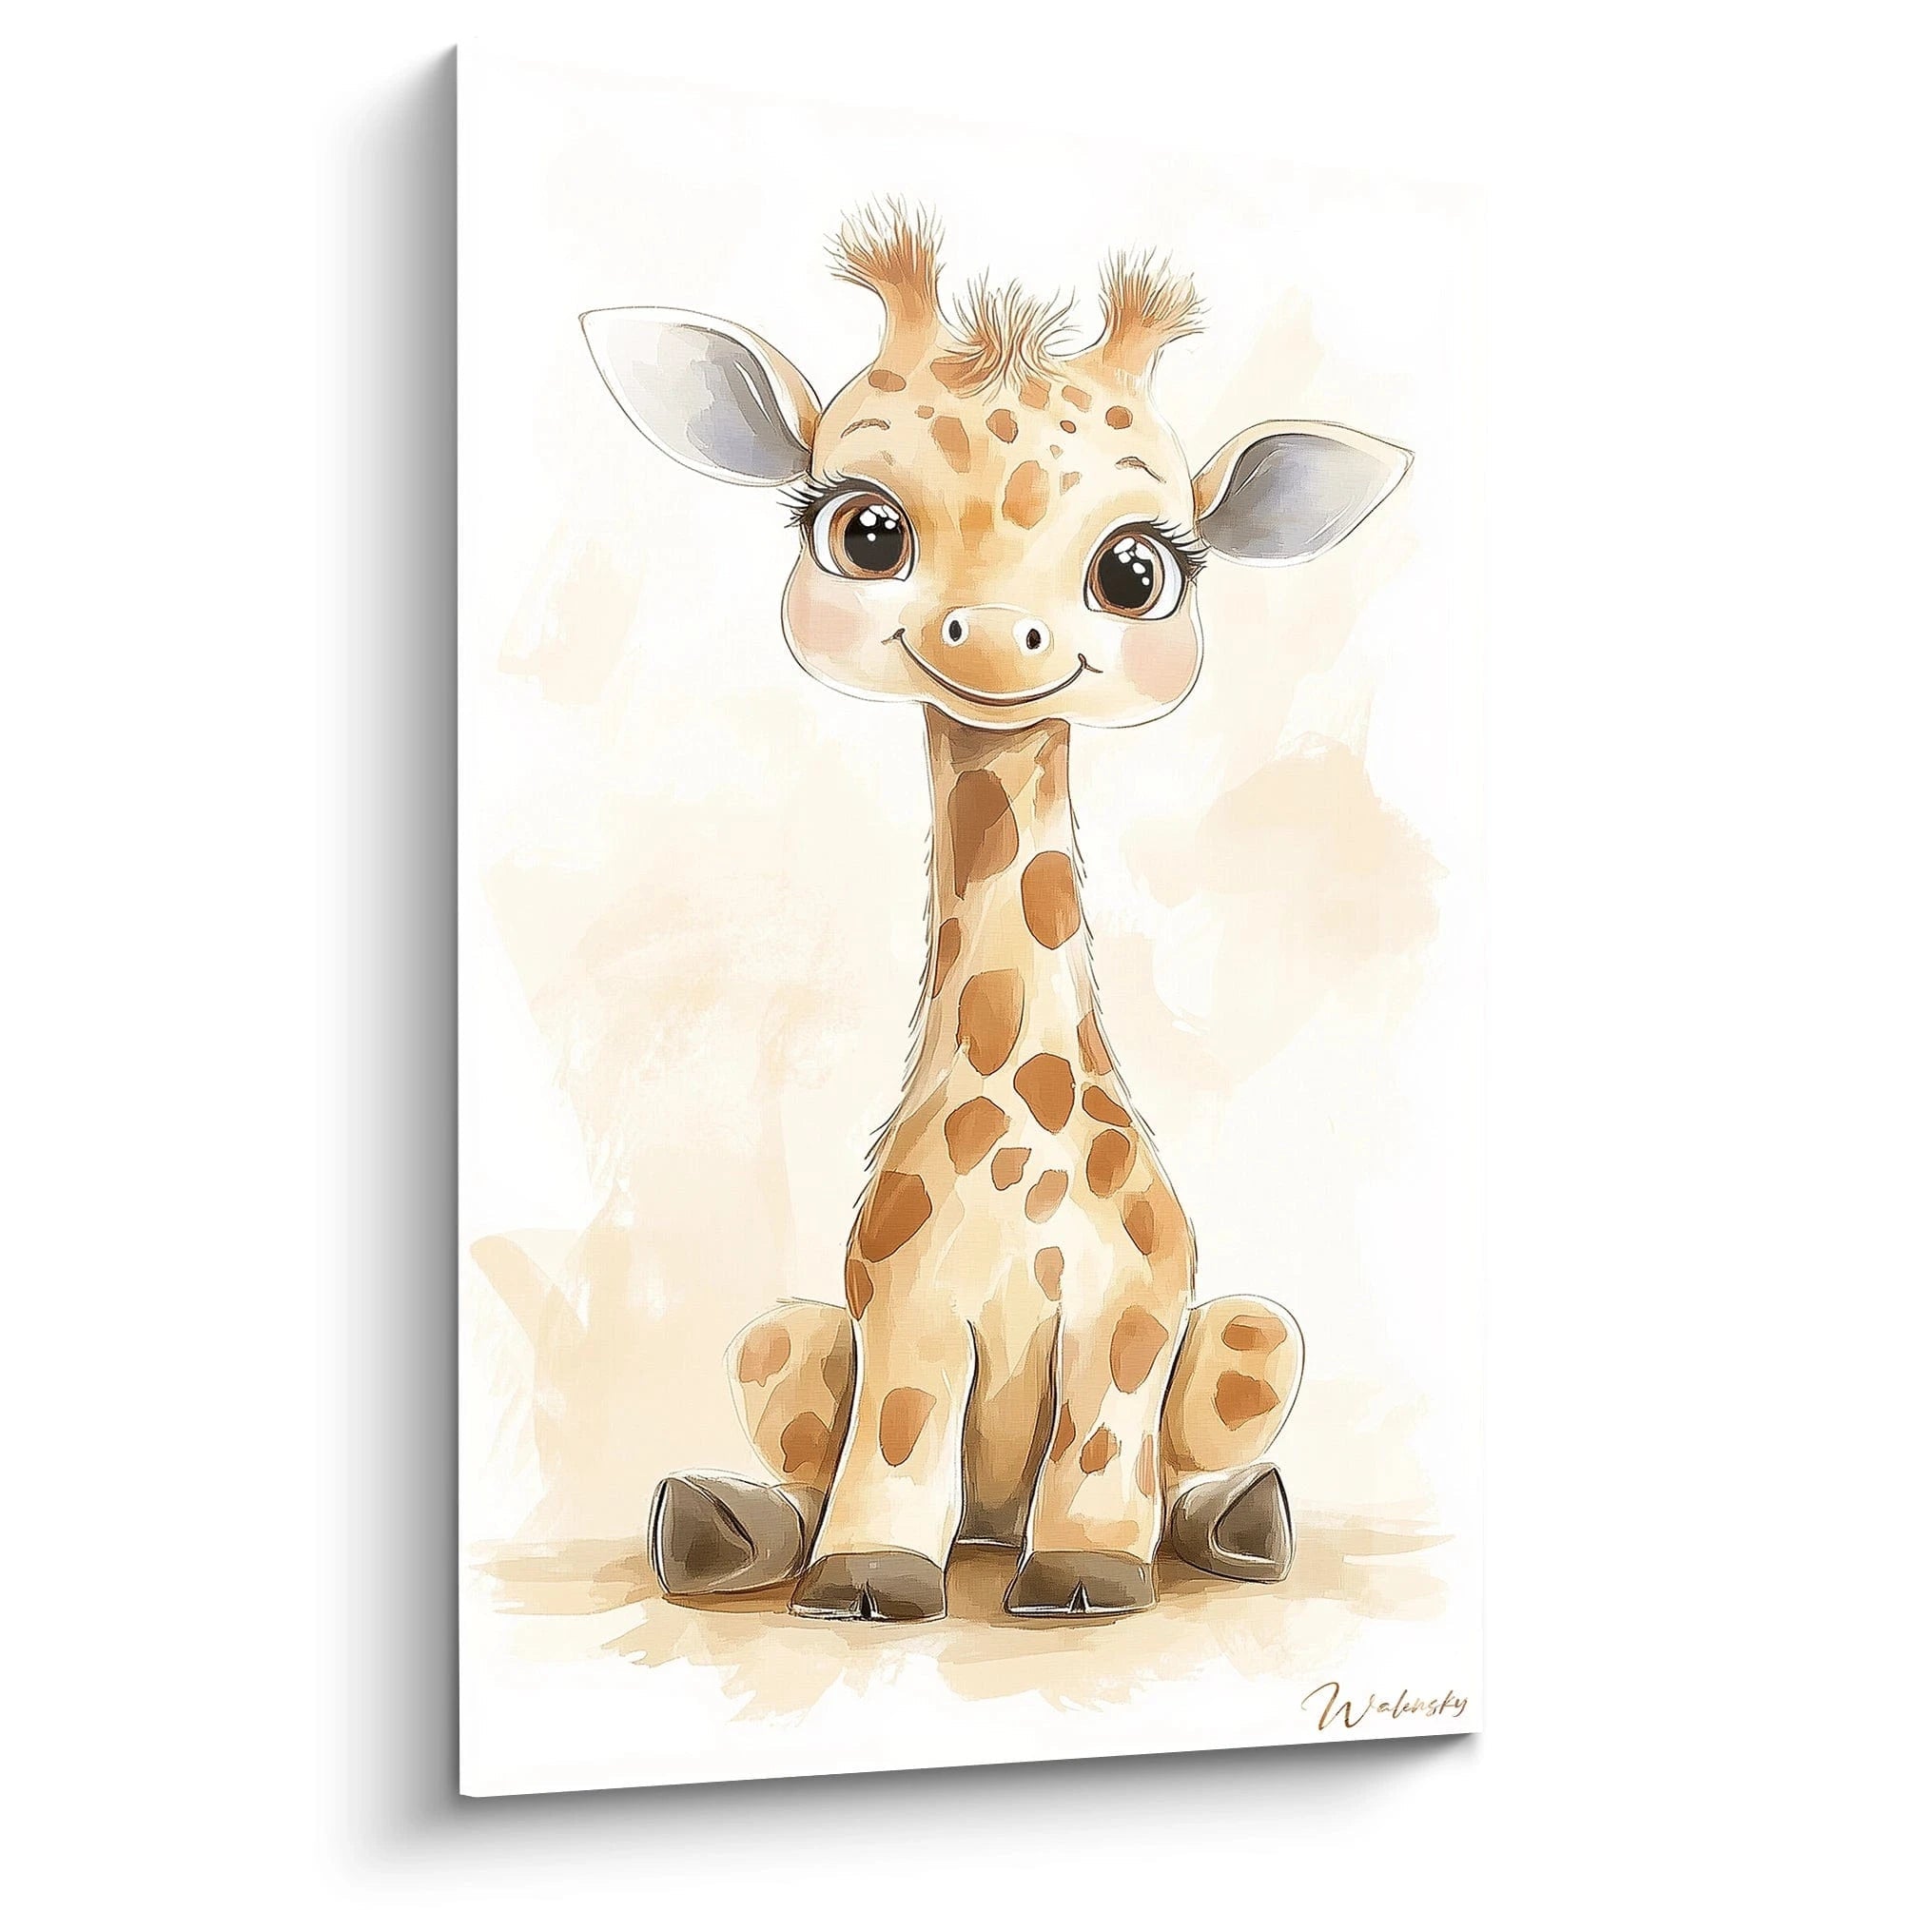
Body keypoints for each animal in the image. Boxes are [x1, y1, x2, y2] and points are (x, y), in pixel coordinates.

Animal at [582, 206, 1410, 1620]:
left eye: (1135, 571)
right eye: (864, 530)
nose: (991, 635)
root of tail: (986, 1525)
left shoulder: (1131, 1317)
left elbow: (1104, 1463)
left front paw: (1088, 1570)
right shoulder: (903, 1318)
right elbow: (889, 1449)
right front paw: (860, 1576)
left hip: (1253, 1328)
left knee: (1209, 1430)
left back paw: (1239, 1520)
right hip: (783, 1335)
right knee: (804, 1426)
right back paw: (718, 1526)